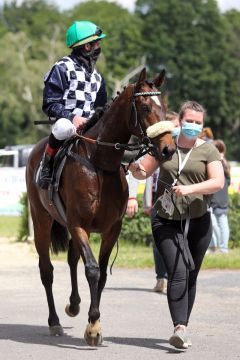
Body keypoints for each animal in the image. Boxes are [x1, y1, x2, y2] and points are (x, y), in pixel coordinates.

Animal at [26, 67, 175, 346]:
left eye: (166, 106)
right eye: (145, 106)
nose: (168, 148)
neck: (99, 165)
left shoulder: (111, 228)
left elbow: (102, 273)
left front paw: (92, 321)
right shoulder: (78, 223)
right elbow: (93, 270)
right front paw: (93, 327)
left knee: (72, 259)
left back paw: (73, 305)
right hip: (41, 220)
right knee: (47, 270)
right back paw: (54, 322)